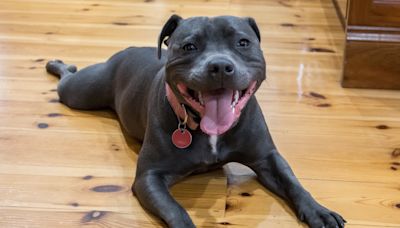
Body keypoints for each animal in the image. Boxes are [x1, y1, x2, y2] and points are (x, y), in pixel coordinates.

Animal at [45, 14, 346, 228]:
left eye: (243, 43)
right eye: (189, 46)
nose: (220, 66)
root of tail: (128, 49)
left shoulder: (267, 158)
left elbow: (293, 182)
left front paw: (319, 211)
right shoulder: (149, 177)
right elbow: (176, 211)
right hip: (81, 92)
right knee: (68, 78)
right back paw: (56, 64)